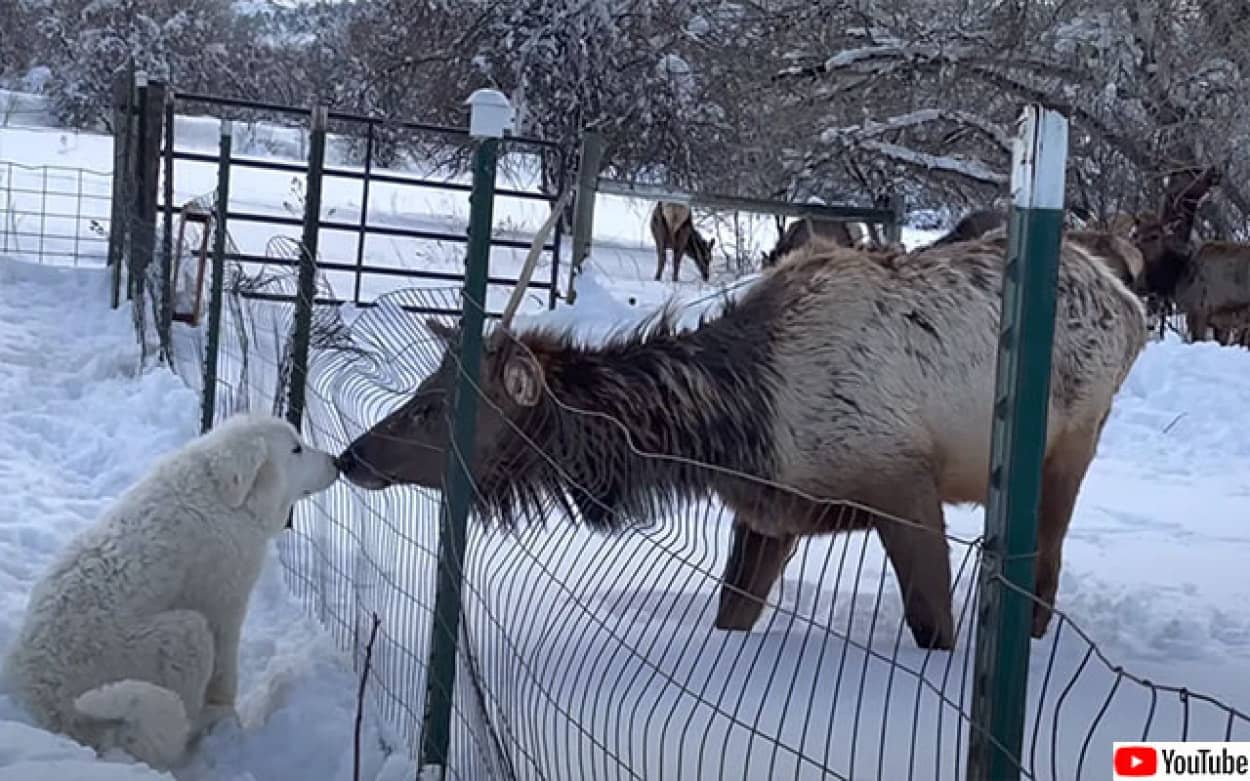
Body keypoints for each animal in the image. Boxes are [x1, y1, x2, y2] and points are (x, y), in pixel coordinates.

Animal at [0, 414, 340, 769]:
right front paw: (231, 717)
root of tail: (48, 704)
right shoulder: (224, 607)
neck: (224, 498)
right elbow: (226, 675)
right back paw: (204, 725)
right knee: (166, 739)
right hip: (185, 634)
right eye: (296, 449)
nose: (338, 462)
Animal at [337, 231, 1145, 649]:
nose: (351, 456)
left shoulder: (901, 479)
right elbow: (731, 612)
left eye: (436, 405)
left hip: (1074, 440)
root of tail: (1131, 301)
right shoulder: (771, 512)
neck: (734, 432)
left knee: (1047, 563)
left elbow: (931, 624)